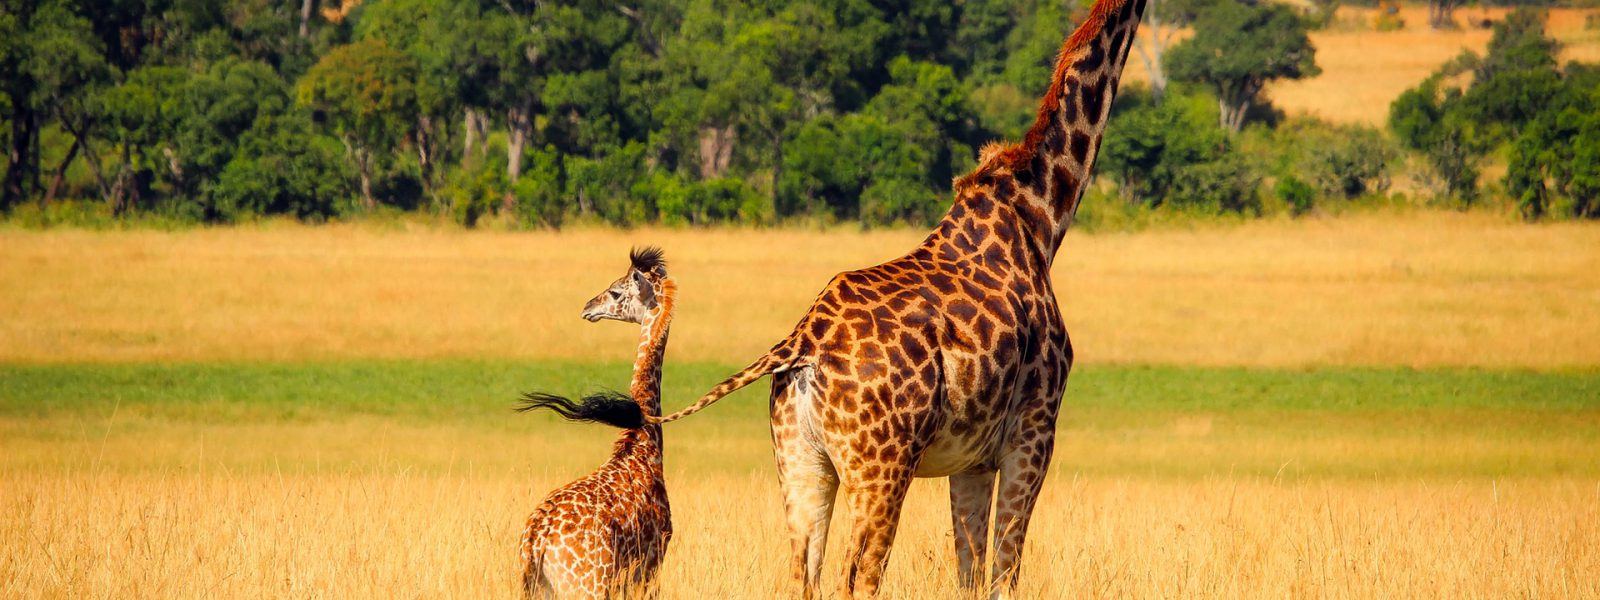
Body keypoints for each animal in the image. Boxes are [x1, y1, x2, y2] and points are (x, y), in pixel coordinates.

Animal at [517, 247, 675, 599]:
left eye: (616, 291)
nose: (588, 307)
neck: (643, 445)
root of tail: (535, 542)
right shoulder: (652, 565)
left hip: (537, 589)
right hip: (589, 586)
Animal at [642, 0, 1148, 596]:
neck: (1040, 216)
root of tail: (800, 345)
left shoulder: (973, 460)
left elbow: (969, 573)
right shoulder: (1034, 433)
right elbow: (1004, 574)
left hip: (801, 461)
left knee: (801, 574)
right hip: (881, 468)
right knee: (857, 576)